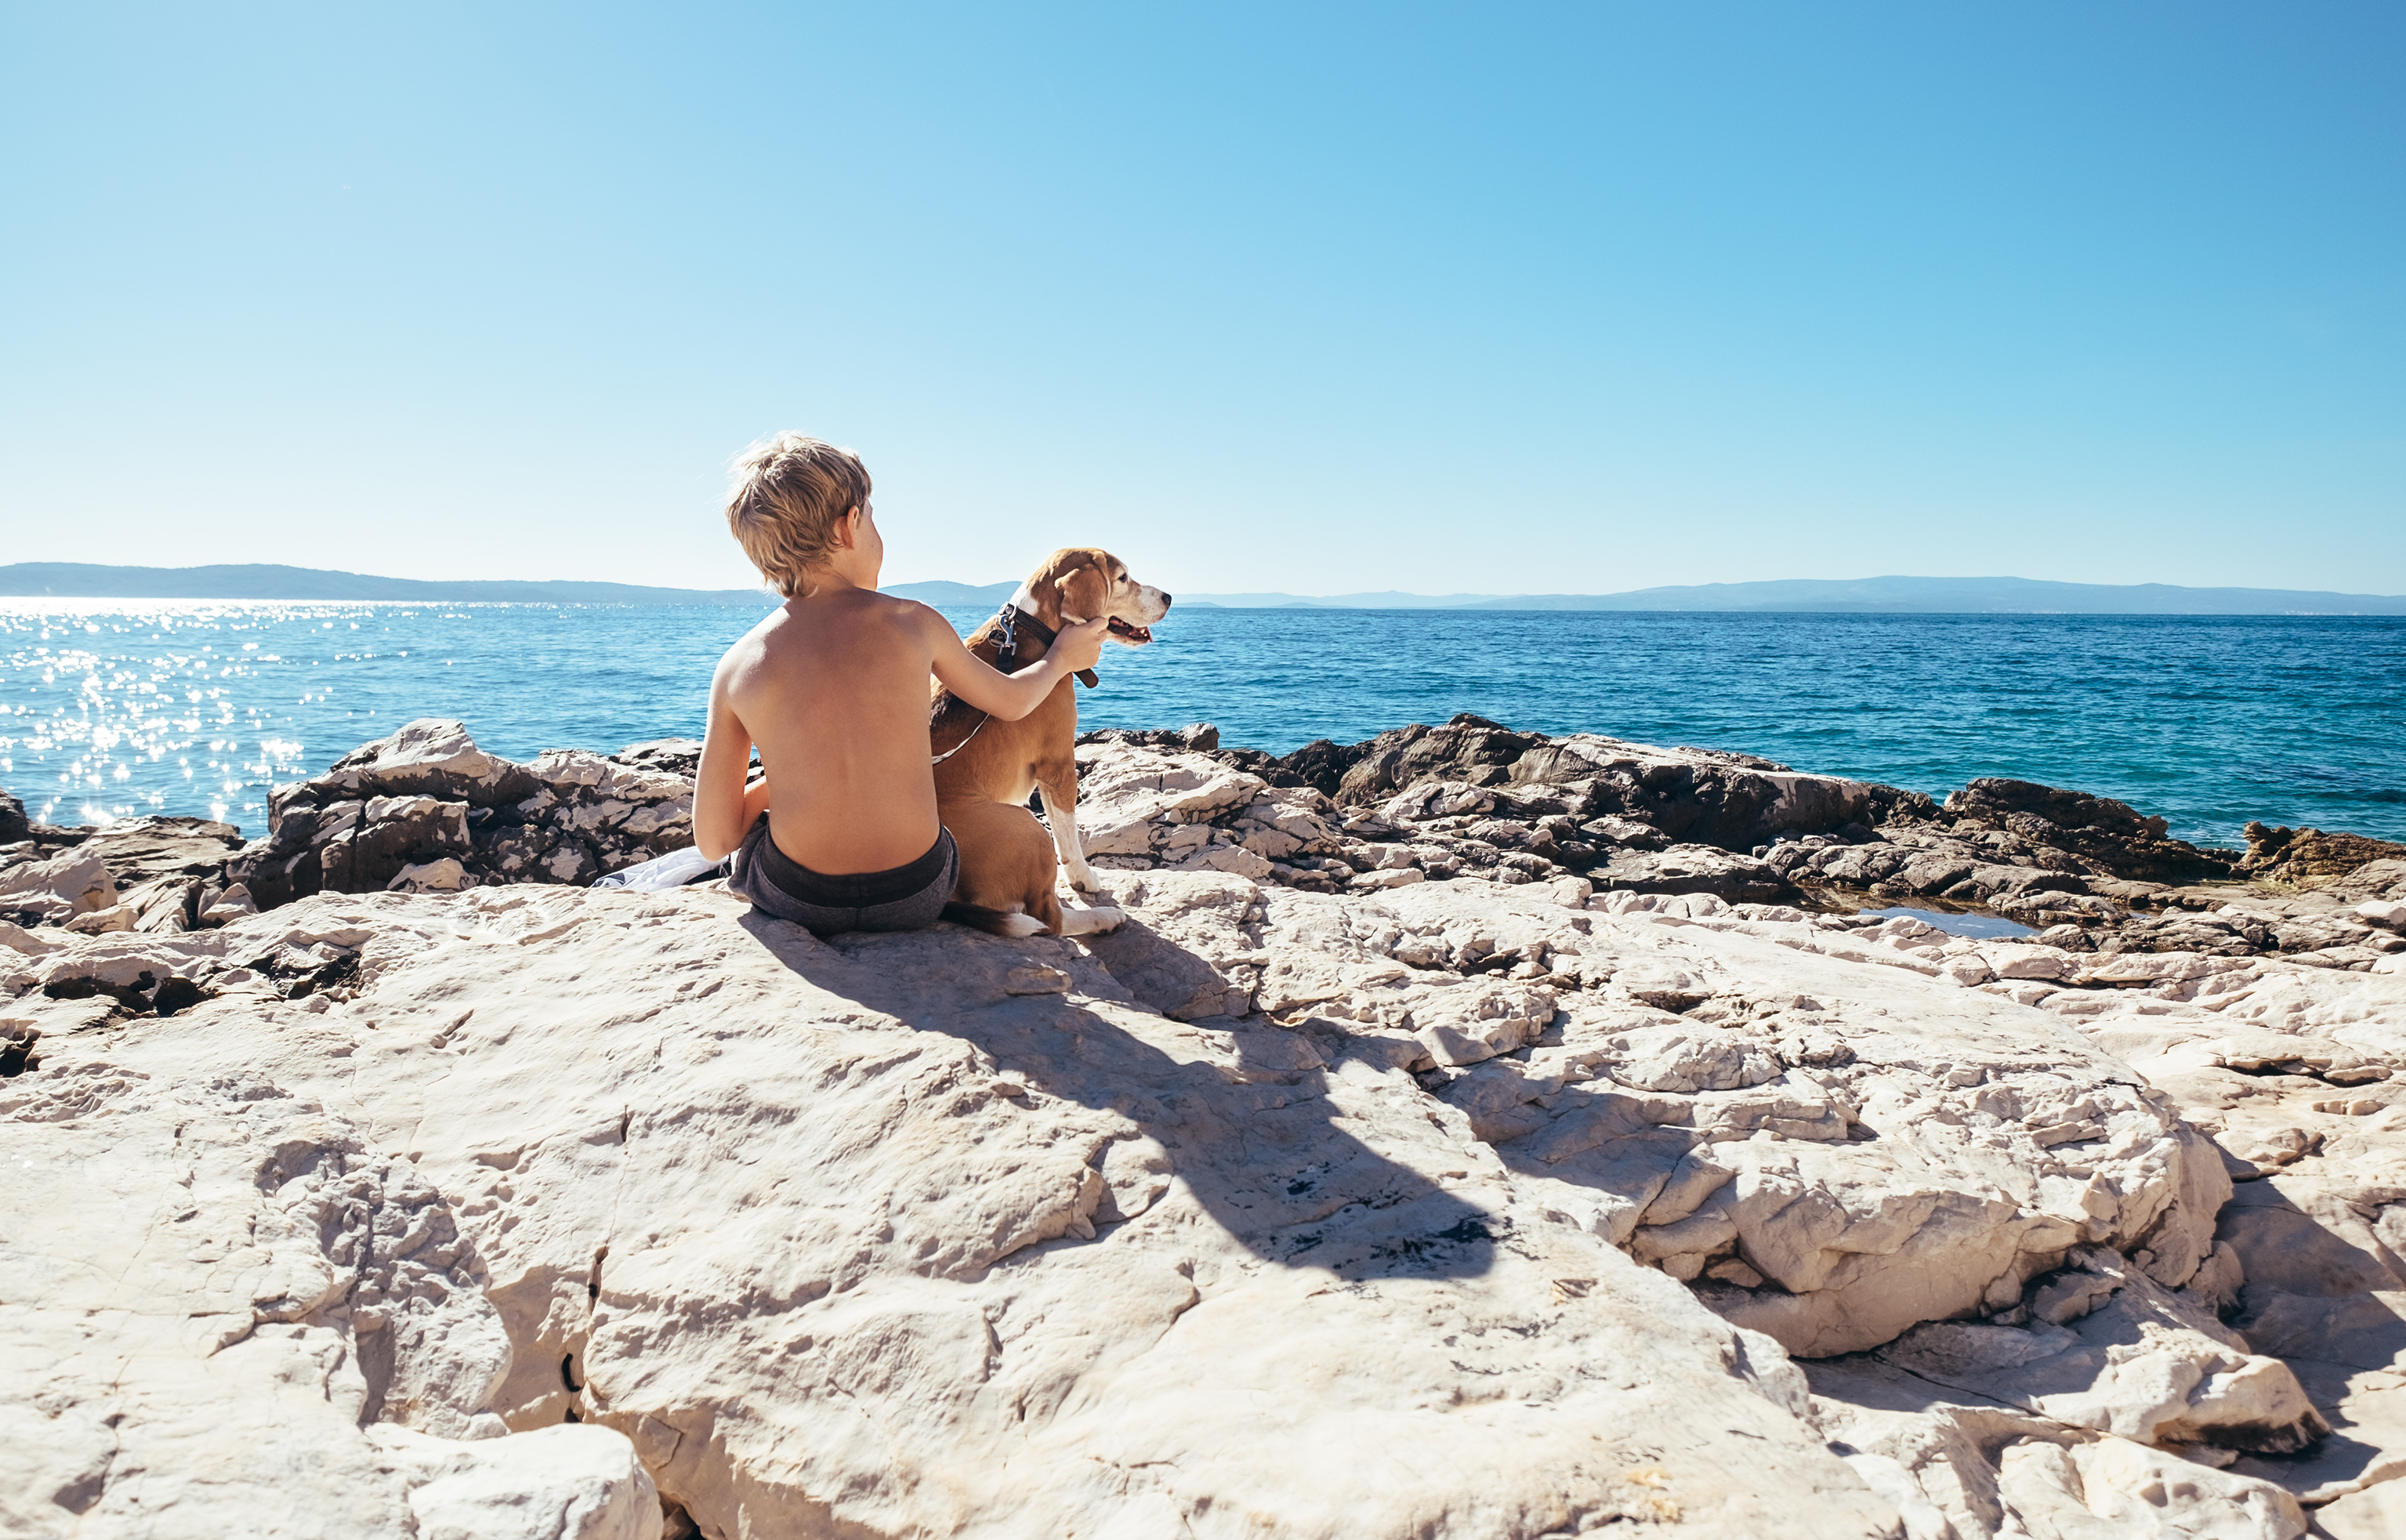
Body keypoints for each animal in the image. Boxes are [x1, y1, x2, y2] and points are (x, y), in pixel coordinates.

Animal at [929, 553, 1174, 938]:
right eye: (1122, 578)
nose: (1168, 598)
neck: (1032, 630)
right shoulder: (1058, 763)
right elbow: (1068, 833)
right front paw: (1084, 878)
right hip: (1028, 828)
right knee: (1049, 919)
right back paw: (1103, 918)